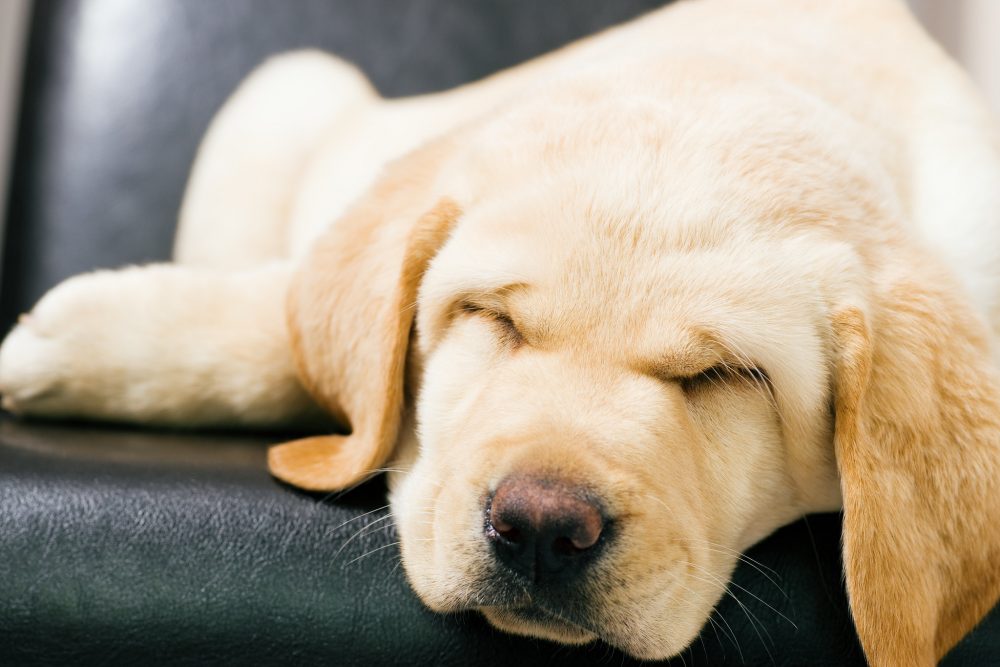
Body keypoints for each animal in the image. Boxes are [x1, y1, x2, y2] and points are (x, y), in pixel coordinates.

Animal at [1, 0, 1000, 664]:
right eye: (492, 317)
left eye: (724, 375)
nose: (542, 526)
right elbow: (286, 324)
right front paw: (66, 346)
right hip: (285, 90)